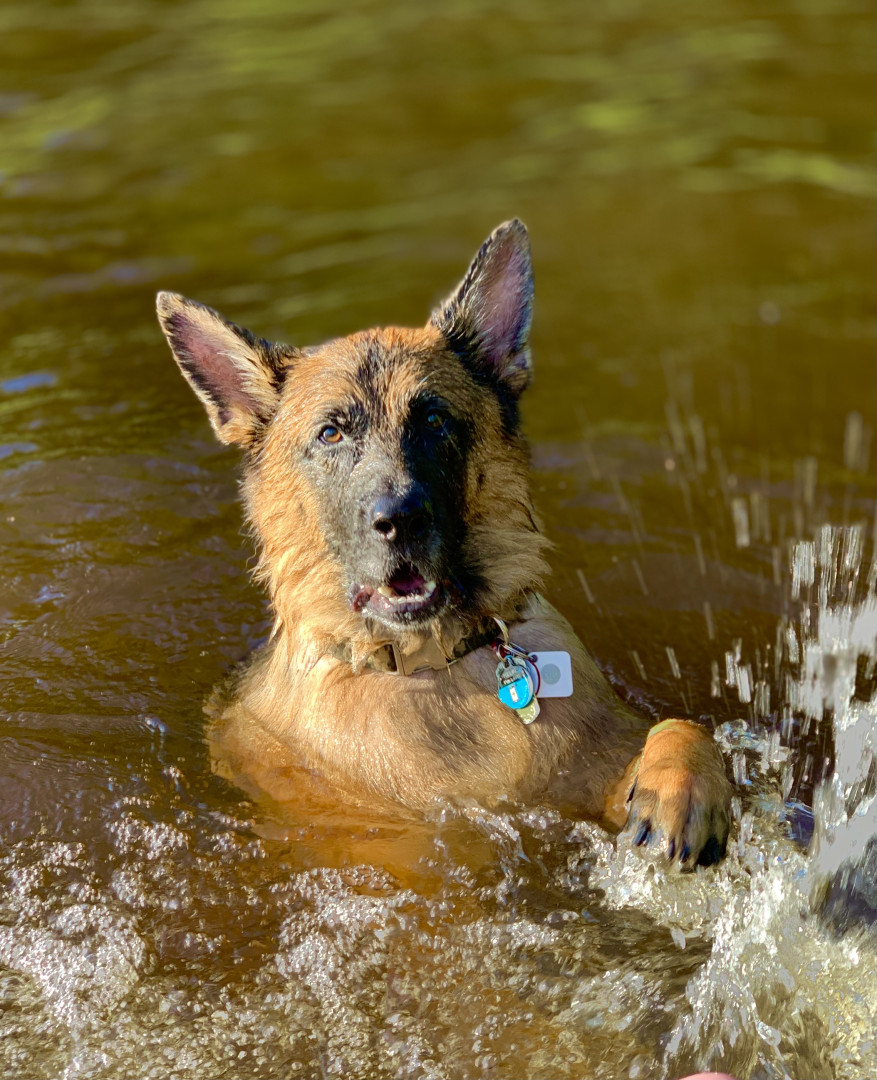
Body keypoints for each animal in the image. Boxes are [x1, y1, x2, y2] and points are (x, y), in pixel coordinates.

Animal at [157, 220, 731, 866]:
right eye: (331, 433)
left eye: (432, 419)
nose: (400, 520)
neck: (435, 664)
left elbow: (682, 727)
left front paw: (678, 794)